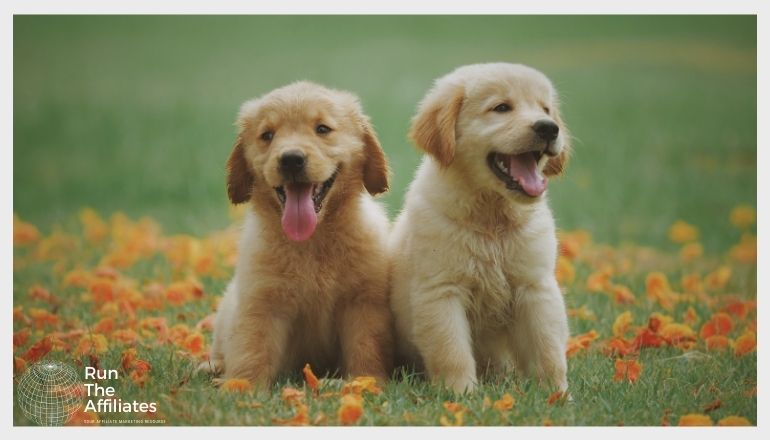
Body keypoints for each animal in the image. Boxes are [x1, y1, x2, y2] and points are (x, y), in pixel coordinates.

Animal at [201, 81, 392, 386]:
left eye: (322, 129)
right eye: (267, 135)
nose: (291, 160)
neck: (311, 241)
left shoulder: (363, 302)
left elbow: (366, 346)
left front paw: (366, 382)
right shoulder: (261, 302)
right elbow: (252, 348)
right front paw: (241, 386)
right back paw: (212, 367)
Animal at [390, 61, 568, 392]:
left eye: (546, 109)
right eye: (501, 108)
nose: (549, 128)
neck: (491, 218)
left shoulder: (535, 287)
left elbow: (548, 348)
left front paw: (557, 394)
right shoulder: (441, 291)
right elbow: (452, 350)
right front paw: (461, 394)